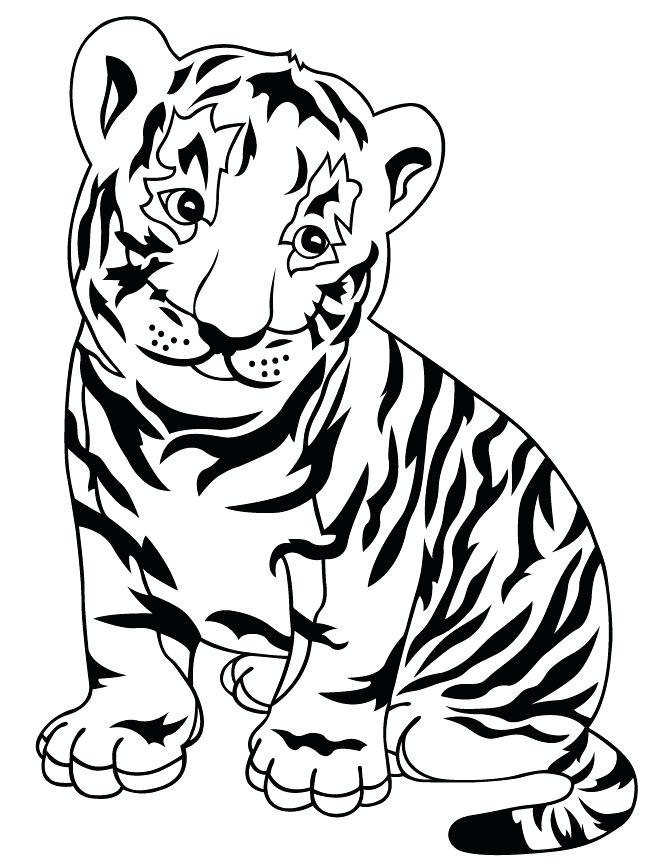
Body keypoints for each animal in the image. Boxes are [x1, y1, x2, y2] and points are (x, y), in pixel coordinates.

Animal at [37, 16, 636, 855]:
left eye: (312, 241)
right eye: (185, 205)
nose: (228, 331)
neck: (189, 433)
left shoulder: (366, 547)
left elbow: (346, 653)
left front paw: (313, 755)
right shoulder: (109, 523)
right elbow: (122, 626)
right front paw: (124, 731)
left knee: (531, 733)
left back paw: (406, 725)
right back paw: (262, 677)